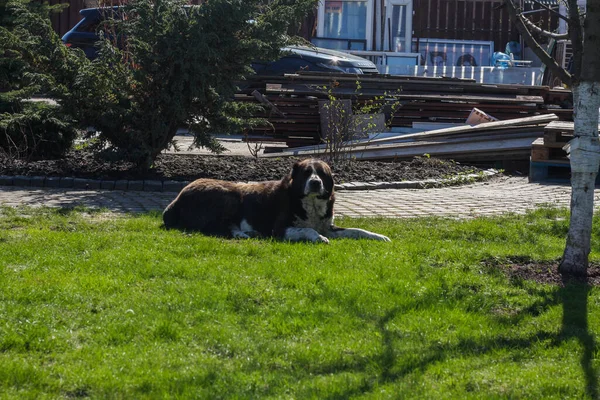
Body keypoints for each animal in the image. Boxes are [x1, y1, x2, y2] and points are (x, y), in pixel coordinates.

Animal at [162, 159, 392, 244]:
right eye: (307, 173)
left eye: (322, 173)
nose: (315, 182)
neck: (310, 203)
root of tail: (175, 201)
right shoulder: (280, 229)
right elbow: (308, 229)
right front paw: (318, 238)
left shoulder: (329, 226)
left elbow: (357, 230)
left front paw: (378, 236)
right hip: (230, 196)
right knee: (215, 227)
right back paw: (242, 234)